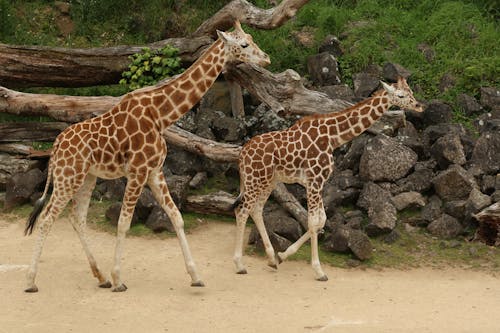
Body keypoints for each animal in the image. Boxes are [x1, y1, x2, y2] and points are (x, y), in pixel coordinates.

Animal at [23, 20, 272, 290]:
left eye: (252, 38)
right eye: (244, 44)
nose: (266, 58)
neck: (161, 115)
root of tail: (57, 144)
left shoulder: (154, 171)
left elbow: (176, 217)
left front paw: (196, 277)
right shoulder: (138, 171)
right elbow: (123, 223)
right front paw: (119, 278)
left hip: (86, 177)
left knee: (76, 217)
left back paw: (100, 277)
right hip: (67, 177)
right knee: (47, 218)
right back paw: (31, 280)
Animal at [232, 76, 424, 278]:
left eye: (411, 91)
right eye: (401, 95)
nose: (418, 106)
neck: (333, 138)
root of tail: (242, 154)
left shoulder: (320, 182)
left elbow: (322, 220)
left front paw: (283, 255)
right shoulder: (314, 180)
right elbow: (312, 221)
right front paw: (319, 270)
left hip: (268, 181)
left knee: (256, 210)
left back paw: (271, 258)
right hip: (254, 179)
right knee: (242, 210)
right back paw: (240, 264)